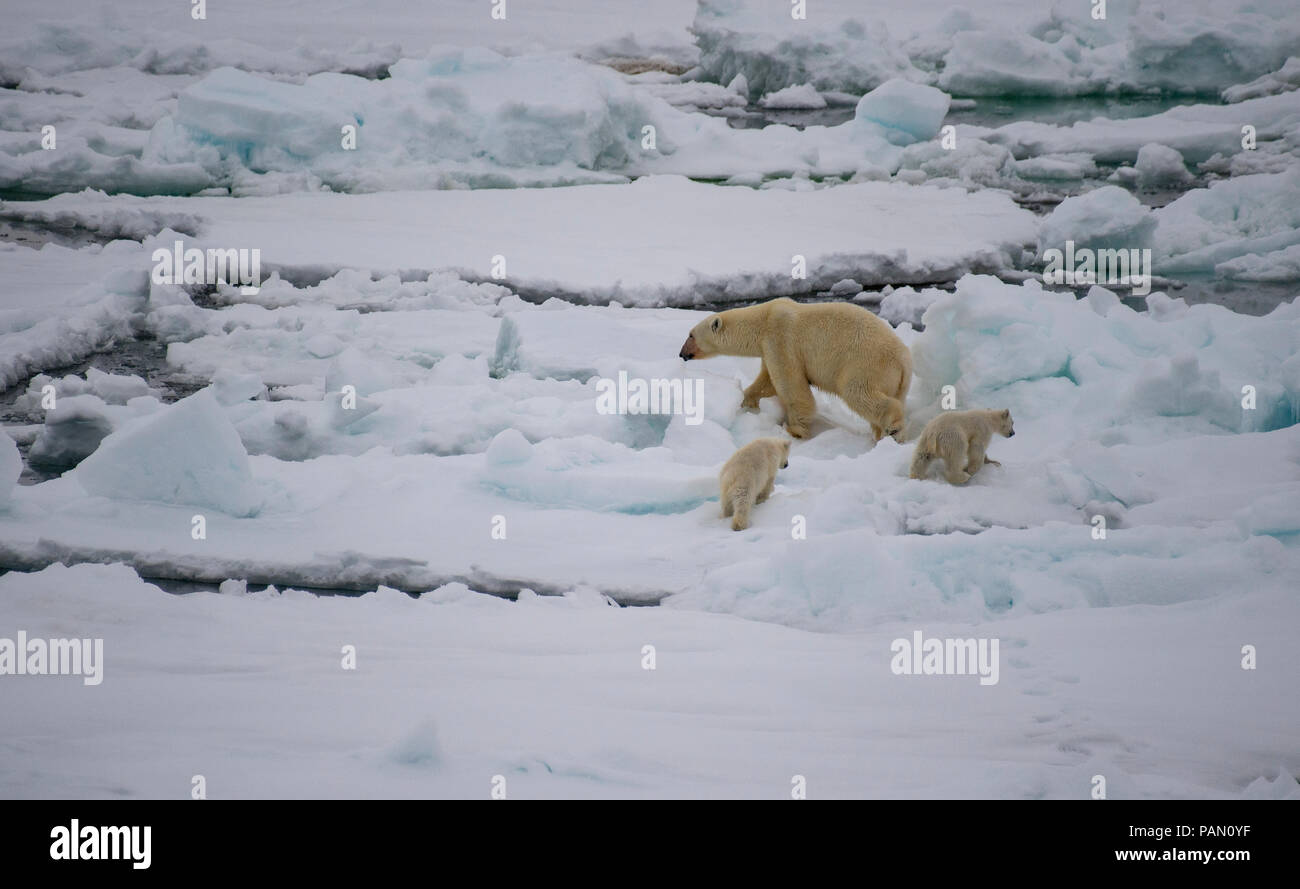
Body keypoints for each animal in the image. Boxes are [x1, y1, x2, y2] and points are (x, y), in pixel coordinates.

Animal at [681, 298, 915, 441]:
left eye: (691, 335)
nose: (682, 353)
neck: (763, 318)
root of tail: (904, 361)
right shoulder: (768, 347)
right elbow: (767, 382)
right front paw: (747, 401)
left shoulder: (780, 337)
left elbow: (791, 384)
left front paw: (795, 430)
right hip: (897, 382)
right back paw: (881, 436)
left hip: (866, 364)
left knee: (858, 392)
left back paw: (893, 428)